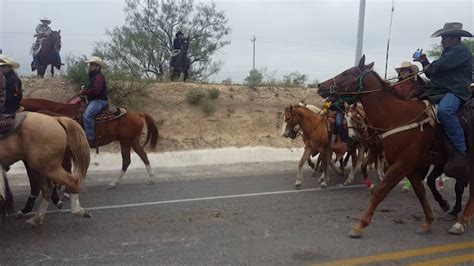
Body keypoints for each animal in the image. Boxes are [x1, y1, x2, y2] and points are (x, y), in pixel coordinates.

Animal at [20, 97, 159, 189]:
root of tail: (138, 114)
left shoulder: (68, 150)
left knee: (126, 161)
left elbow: (67, 167)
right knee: (143, 156)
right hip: (133, 142)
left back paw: (114, 183)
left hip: (125, 142)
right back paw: (151, 179)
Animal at [316, 55, 472, 237]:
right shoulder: (408, 165)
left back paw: (460, 222)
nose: (320, 86)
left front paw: (360, 225)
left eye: (347, 72)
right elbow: (420, 191)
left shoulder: (402, 164)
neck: (397, 117)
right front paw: (428, 221)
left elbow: (381, 191)